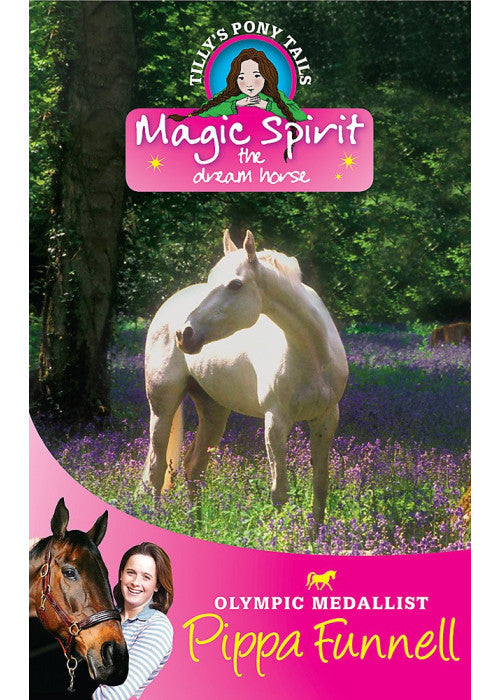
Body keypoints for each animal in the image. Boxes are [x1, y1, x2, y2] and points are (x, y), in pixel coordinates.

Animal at [143, 230, 348, 525]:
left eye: (235, 285)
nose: (184, 334)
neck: (313, 355)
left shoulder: (326, 419)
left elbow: (320, 486)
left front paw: (317, 535)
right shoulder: (276, 422)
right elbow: (279, 492)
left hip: (214, 411)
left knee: (194, 467)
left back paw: (196, 525)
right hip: (162, 406)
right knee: (157, 470)